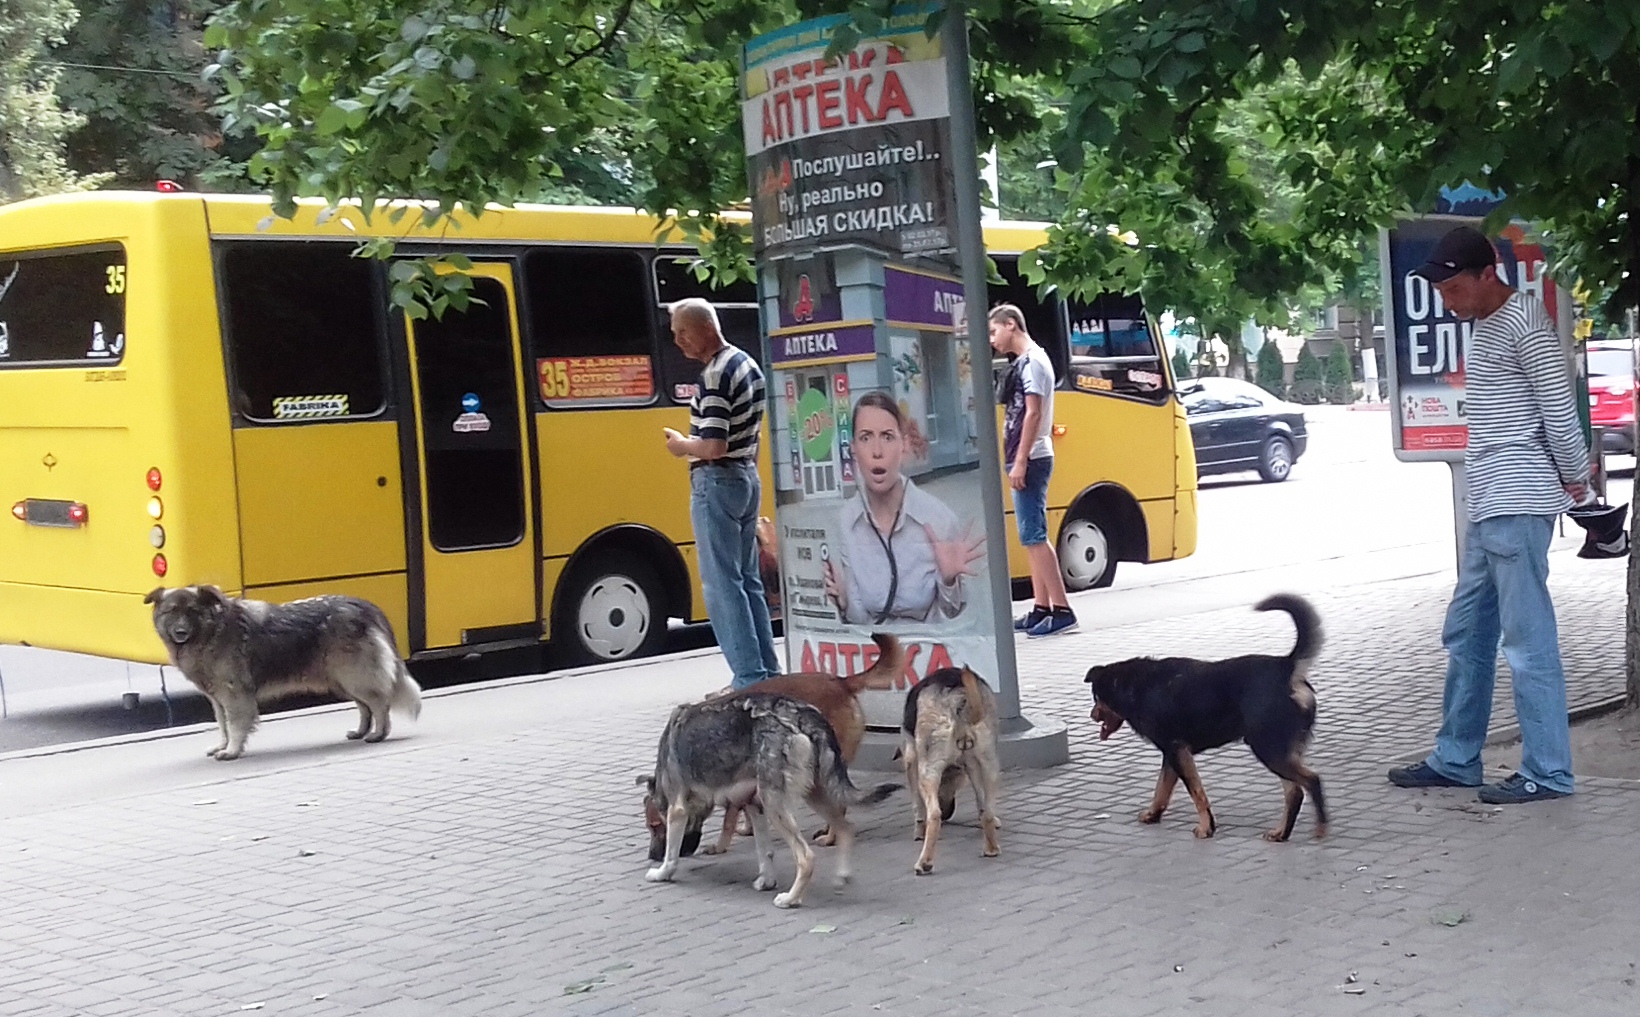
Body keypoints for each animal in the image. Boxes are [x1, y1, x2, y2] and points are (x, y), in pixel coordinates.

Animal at [1082, 597, 1325, 839]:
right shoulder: (1172, 754)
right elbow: (1161, 790)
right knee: (1295, 792)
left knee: (1311, 781)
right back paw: (1281, 833)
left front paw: (1206, 827)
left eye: (1096, 698)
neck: (1133, 686)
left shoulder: (1177, 752)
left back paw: (1320, 828)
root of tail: (1287, 668)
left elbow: (1196, 793)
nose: (1092, 715)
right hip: (1279, 751)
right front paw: (1153, 814)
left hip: (1268, 748)